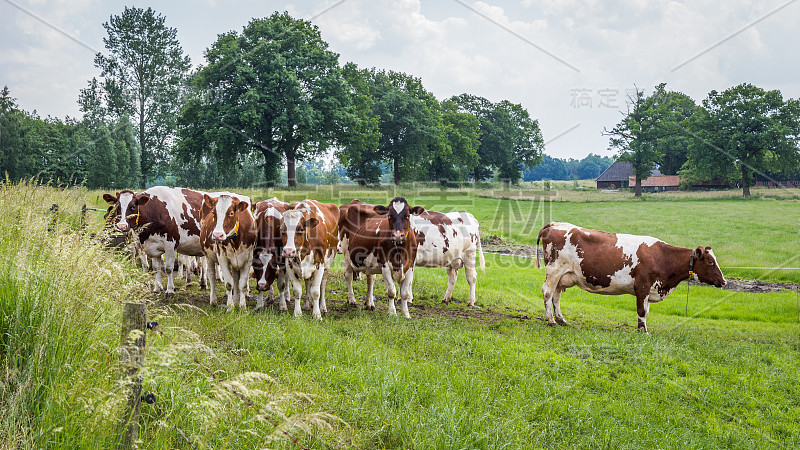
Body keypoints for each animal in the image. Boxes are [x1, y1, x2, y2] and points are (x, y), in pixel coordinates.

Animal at [536, 221, 728, 330]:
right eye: (710, 262)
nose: (724, 281)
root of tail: (554, 224)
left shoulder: (649, 290)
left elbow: (646, 311)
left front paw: (641, 328)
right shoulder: (642, 286)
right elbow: (641, 310)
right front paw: (643, 331)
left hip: (563, 275)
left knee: (556, 296)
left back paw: (561, 319)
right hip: (554, 271)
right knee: (547, 292)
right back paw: (551, 321)